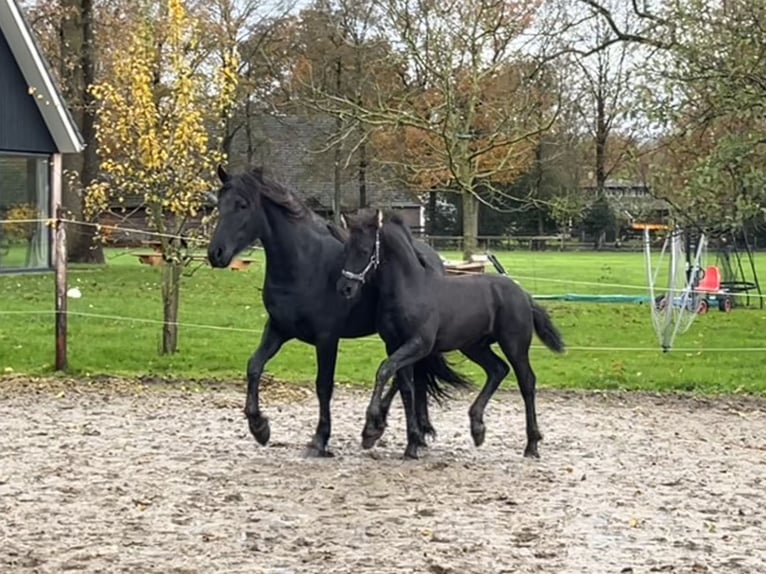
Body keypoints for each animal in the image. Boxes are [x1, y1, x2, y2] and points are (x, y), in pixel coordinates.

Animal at [206, 166, 468, 460]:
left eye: (242, 205)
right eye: (219, 204)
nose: (216, 253)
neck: (304, 264)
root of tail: (431, 257)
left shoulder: (326, 338)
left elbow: (324, 385)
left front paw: (319, 440)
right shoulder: (278, 329)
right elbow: (254, 367)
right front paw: (259, 427)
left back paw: (391, 429)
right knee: (409, 378)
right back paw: (404, 432)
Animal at [340, 209, 568, 462]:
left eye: (363, 250)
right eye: (346, 249)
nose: (345, 288)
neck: (410, 290)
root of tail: (524, 294)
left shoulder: (419, 344)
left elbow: (384, 370)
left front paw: (372, 425)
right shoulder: (395, 345)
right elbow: (406, 388)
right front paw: (410, 444)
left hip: (514, 344)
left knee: (526, 381)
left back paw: (532, 445)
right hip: (474, 346)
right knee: (498, 369)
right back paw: (477, 428)